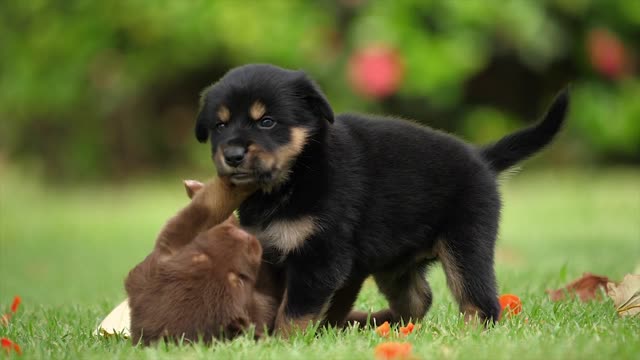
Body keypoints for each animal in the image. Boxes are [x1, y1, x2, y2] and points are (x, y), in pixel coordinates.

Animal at [192, 64, 568, 334]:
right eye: (220, 126)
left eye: (267, 122)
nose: (233, 155)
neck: (297, 173)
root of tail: (482, 158)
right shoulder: (270, 252)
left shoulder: (320, 257)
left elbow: (295, 312)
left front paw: (284, 342)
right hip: (394, 264)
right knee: (419, 298)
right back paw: (381, 322)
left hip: (466, 244)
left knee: (480, 302)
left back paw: (469, 335)